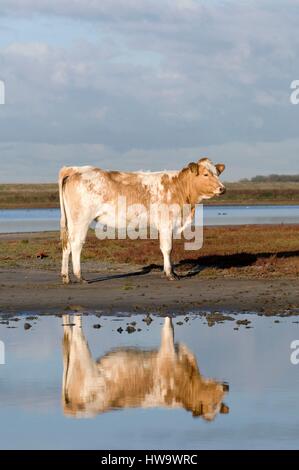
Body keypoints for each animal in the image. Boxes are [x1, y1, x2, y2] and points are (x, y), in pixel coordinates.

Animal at [59, 158, 226, 282]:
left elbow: (169, 248)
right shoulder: (166, 223)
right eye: (205, 174)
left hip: (71, 221)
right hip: (81, 219)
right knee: (76, 243)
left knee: (67, 244)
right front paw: (170, 274)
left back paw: (66, 277)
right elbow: (167, 248)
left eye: (217, 173)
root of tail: (75, 170)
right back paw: (80, 276)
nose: (222, 188)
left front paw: (172, 272)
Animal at [62, 316, 230, 418]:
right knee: (77, 336)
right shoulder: (167, 352)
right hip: (84, 361)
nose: (226, 387)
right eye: (212, 403)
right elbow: (169, 329)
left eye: (219, 404)